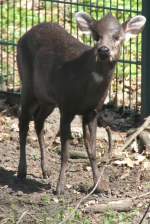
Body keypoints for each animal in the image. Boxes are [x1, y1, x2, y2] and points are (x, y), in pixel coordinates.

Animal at [17, 12, 146, 194]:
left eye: (117, 37)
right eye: (96, 36)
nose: (103, 50)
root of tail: (23, 36)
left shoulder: (92, 112)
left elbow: (92, 150)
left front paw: (100, 186)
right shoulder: (66, 107)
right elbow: (65, 152)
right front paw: (60, 187)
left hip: (48, 99)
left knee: (38, 121)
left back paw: (45, 170)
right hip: (28, 84)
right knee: (23, 121)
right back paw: (22, 171)